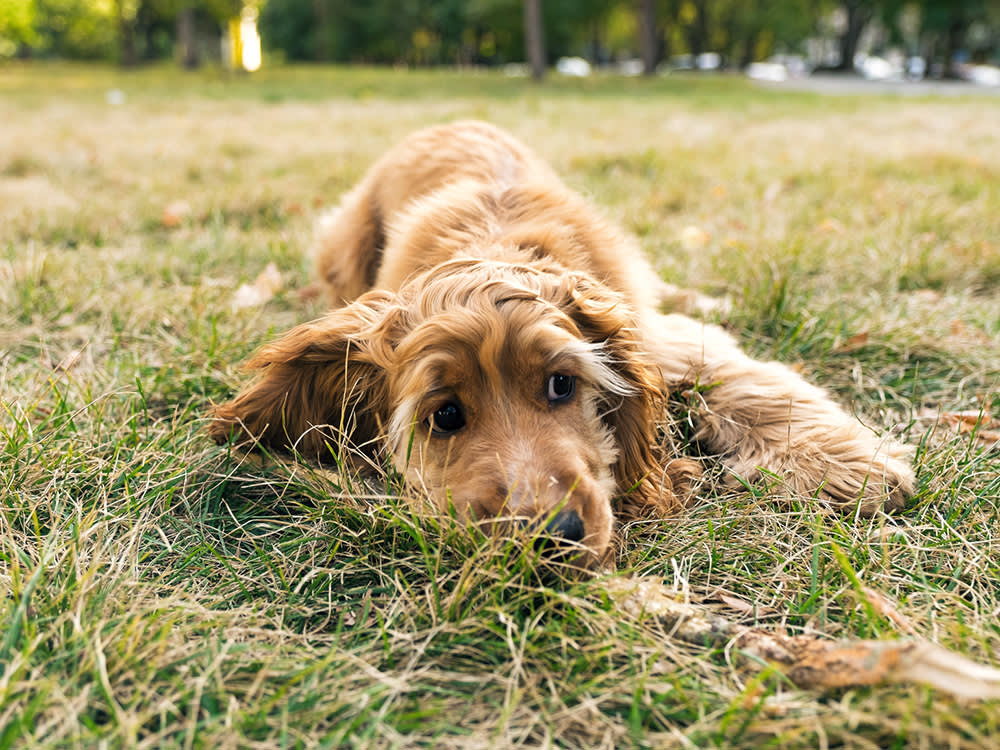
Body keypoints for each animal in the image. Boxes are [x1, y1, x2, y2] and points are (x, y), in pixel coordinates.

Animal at [209, 120, 916, 568]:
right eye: (445, 415)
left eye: (561, 384)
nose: (555, 536)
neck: (494, 244)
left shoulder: (650, 331)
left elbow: (743, 379)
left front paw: (848, 467)